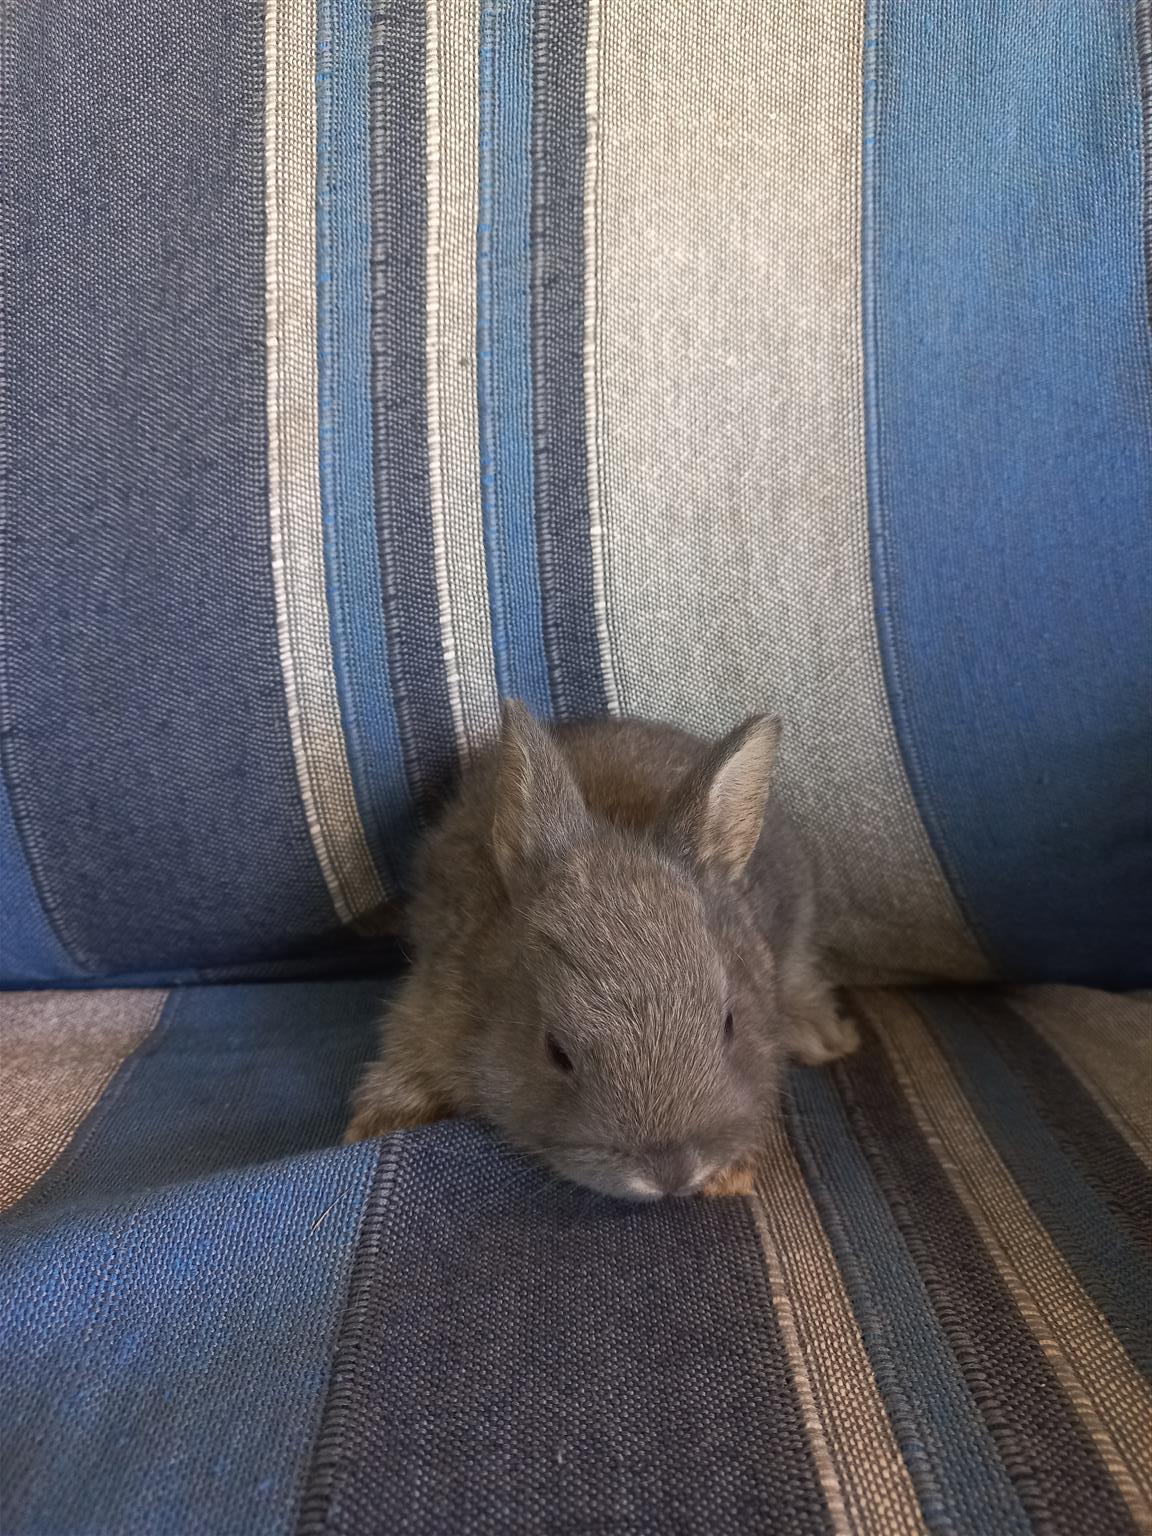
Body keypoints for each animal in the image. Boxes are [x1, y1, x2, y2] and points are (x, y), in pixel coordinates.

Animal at [344, 701, 858, 1199]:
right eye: (555, 1051)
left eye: (729, 1024)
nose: (670, 1174)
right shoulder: (433, 1002)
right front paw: (376, 1125)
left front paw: (728, 1177)